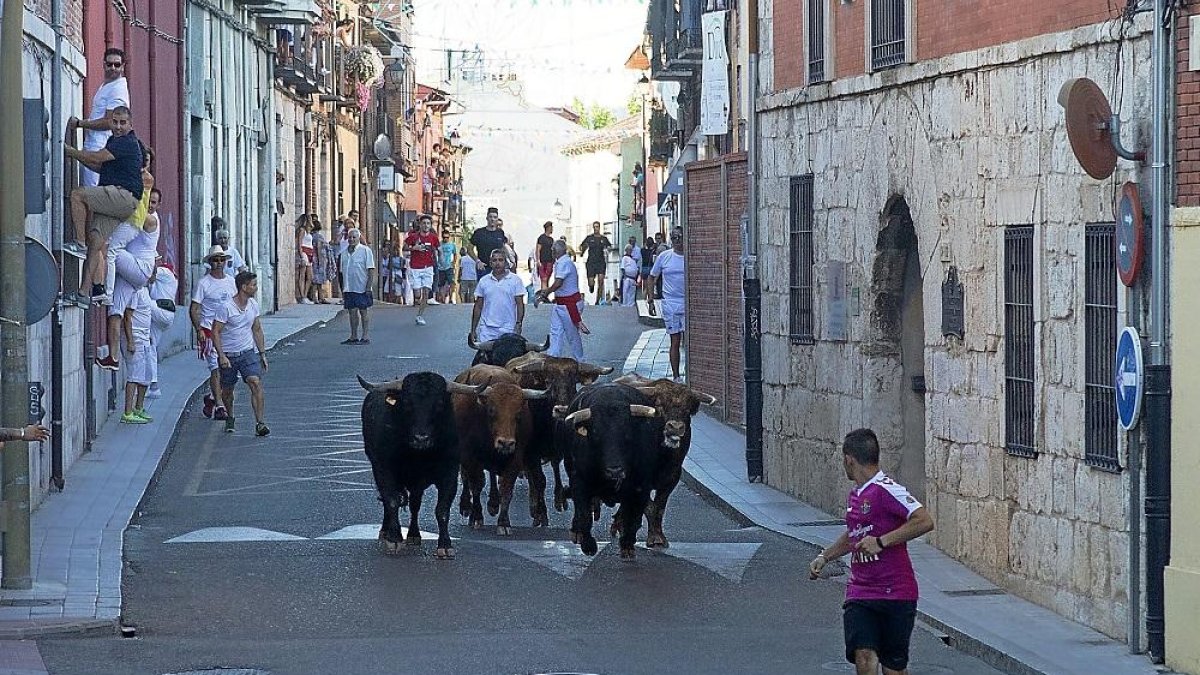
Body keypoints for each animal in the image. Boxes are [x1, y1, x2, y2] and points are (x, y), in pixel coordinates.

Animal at [451, 365, 549, 533]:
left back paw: (493, 504)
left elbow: (506, 488)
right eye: (491, 410)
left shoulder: (515, 458)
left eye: (518, 414)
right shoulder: (470, 457)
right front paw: (477, 517)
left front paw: (503, 522)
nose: (506, 443)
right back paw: (467, 507)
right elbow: (476, 485)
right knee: (466, 478)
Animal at [604, 372, 715, 547]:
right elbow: (650, 506)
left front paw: (658, 536)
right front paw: (654, 538)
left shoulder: (672, 476)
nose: (675, 427)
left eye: (687, 408)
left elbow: (660, 506)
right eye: (661, 405)